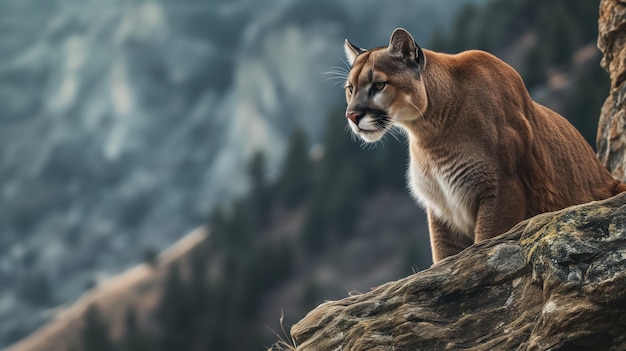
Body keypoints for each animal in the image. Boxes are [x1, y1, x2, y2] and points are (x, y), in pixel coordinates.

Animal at [342, 28, 624, 264]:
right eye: (350, 88)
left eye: (379, 85)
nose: (352, 116)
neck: (430, 133)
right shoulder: (441, 209)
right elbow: (443, 257)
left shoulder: (503, 188)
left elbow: (486, 241)